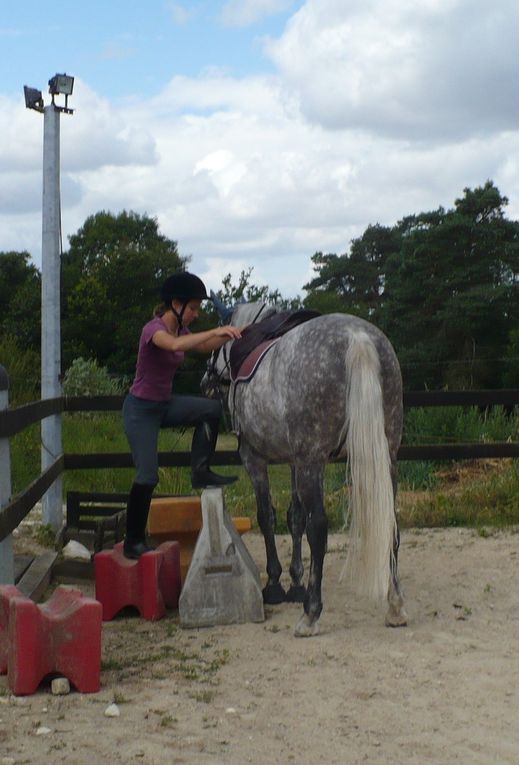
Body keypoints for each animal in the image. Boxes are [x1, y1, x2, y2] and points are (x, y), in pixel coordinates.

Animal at [202, 302, 406, 636]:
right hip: (385, 455)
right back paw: (395, 607)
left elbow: (268, 517)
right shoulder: (295, 461)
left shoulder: (255, 459)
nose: (205, 379)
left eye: (218, 340)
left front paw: (274, 584)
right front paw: (296, 583)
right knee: (390, 522)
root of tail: (357, 336)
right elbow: (295, 518)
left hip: (313, 462)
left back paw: (311, 614)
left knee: (319, 528)